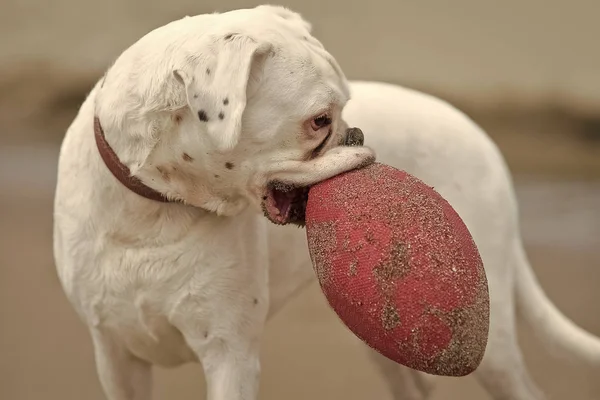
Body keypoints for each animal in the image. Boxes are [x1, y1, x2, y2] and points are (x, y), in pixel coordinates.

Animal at [52, 3, 600, 400]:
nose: (356, 133)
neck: (155, 207)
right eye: (319, 121)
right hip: (388, 334)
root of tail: (478, 132)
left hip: (491, 345)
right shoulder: (116, 357)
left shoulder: (230, 356)